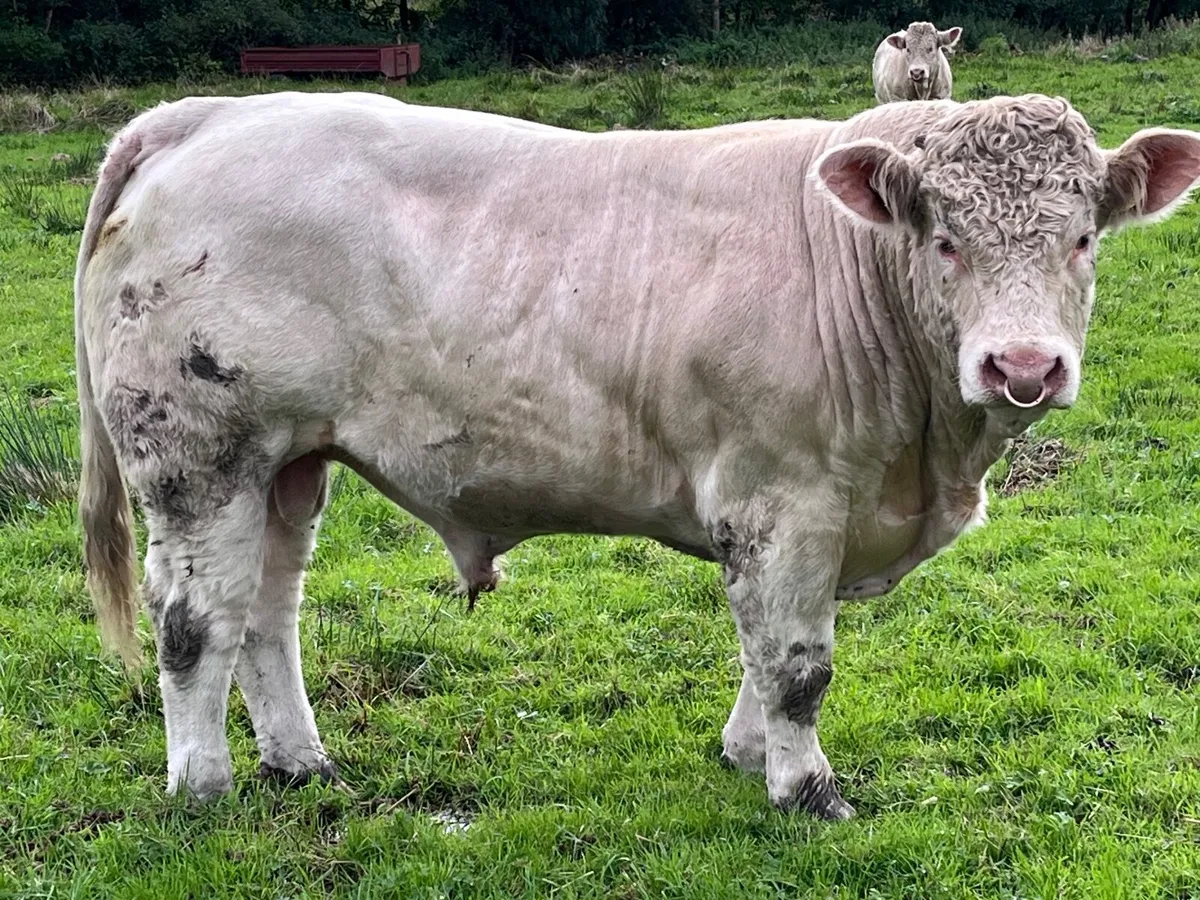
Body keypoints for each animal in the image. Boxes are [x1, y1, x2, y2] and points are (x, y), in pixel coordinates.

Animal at [75, 90, 1200, 818]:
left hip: (288, 466)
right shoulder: (782, 496)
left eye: (1083, 238)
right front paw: (806, 789)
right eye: (946, 240)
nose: (1024, 365)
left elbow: (768, 648)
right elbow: (799, 661)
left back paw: (299, 764)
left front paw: (746, 753)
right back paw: (203, 786)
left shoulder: (810, 513)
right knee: (194, 625)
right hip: (200, 457)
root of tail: (206, 114)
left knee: (267, 615)